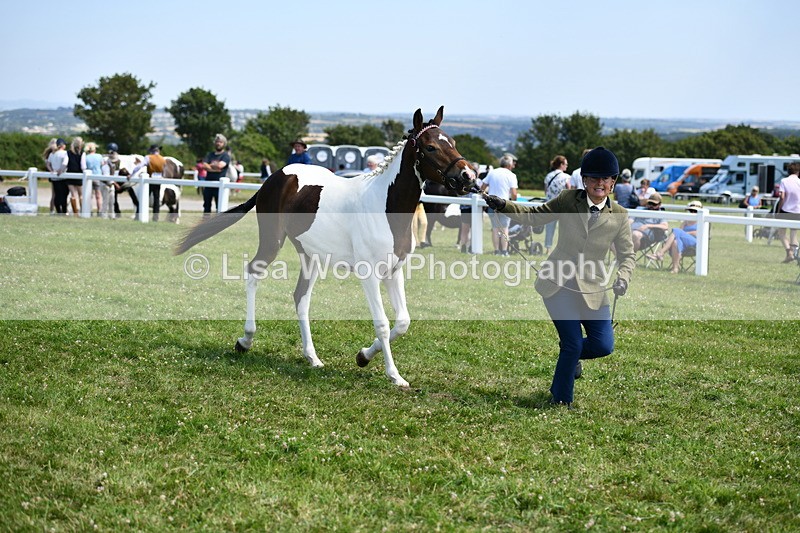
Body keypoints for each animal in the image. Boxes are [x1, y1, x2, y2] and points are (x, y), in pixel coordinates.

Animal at [175, 107, 476, 387]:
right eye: (431, 146)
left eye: (452, 141)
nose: (467, 176)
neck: (385, 205)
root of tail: (276, 177)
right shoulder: (369, 275)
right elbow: (382, 323)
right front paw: (394, 375)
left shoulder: (394, 271)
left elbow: (402, 322)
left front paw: (363, 356)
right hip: (272, 241)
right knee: (253, 273)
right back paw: (245, 340)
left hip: (310, 256)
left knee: (300, 297)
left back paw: (312, 357)